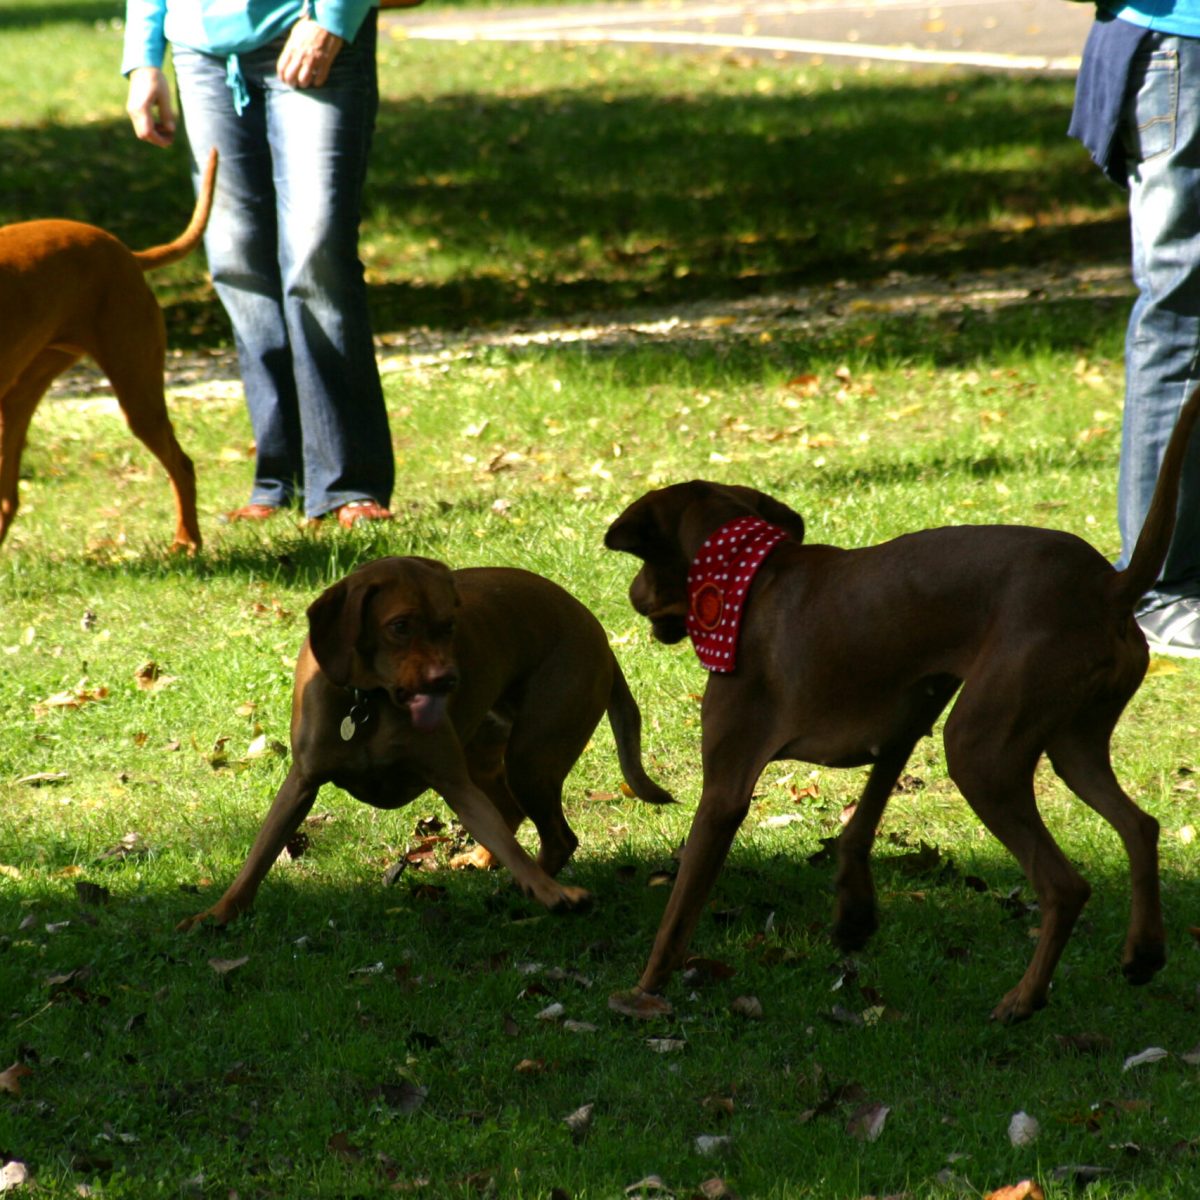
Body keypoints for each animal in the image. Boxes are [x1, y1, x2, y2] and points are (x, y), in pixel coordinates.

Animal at [0, 145, 216, 552]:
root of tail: (123, 249)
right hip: (17, 397)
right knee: (8, 499)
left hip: (137, 388)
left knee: (182, 465)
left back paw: (187, 542)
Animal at [175, 556, 676, 931]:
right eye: (400, 626)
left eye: (450, 626)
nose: (448, 681)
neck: (368, 701)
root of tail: (599, 636)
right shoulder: (302, 782)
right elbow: (258, 857)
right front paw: (216, 915)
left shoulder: (452, 782)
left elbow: (509, 842)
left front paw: (551, 893)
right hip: (489, 758)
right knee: (513, 812)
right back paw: (487, 863)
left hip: (529, 759)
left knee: (555, 837)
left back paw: (521, 886)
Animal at [609, 386, 1200, 1022]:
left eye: (643, 564)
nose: (630, 594)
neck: (751, 578)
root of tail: (1108, 587)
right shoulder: (906, 721)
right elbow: (859, 825)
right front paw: (853, 915)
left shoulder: (724, 790)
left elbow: (677, 914)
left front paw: (644, 991)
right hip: (1072, 743)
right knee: (1140, 825)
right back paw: (1143, 952)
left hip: (980, 751)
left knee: (1065, 885)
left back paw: (1024, 999)